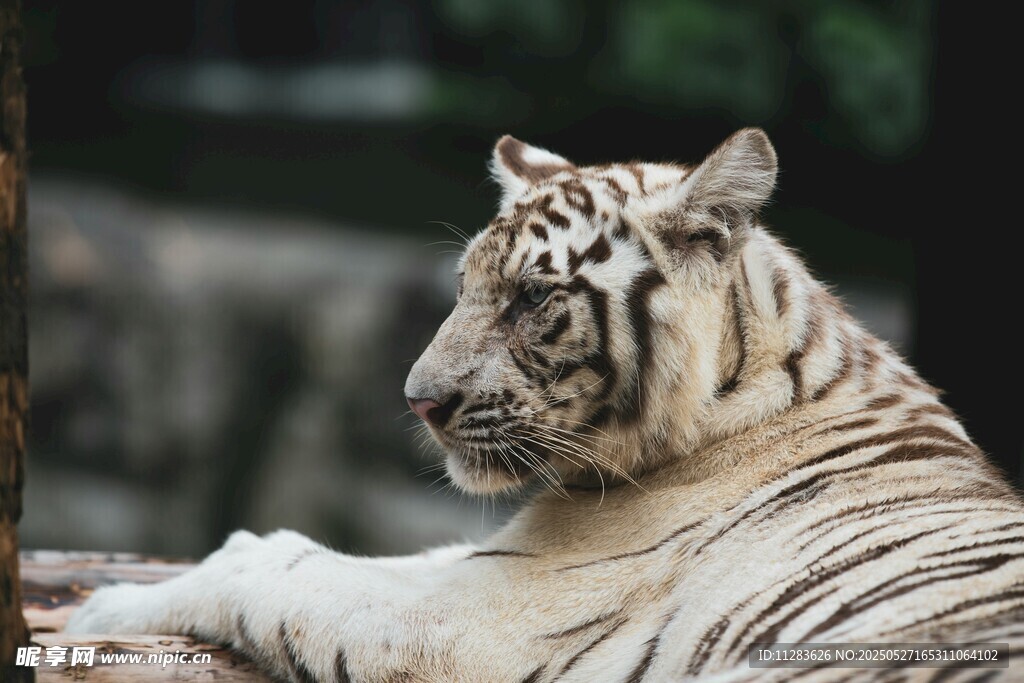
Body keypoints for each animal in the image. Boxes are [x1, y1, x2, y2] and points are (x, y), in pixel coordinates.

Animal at [65, 129, 1024, 682]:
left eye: (531, 298)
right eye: (463, 287)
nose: (418, 401)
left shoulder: (480, 620)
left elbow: (289, 578)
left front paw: (99, 608)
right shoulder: (496, 560)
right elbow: (338, 553)